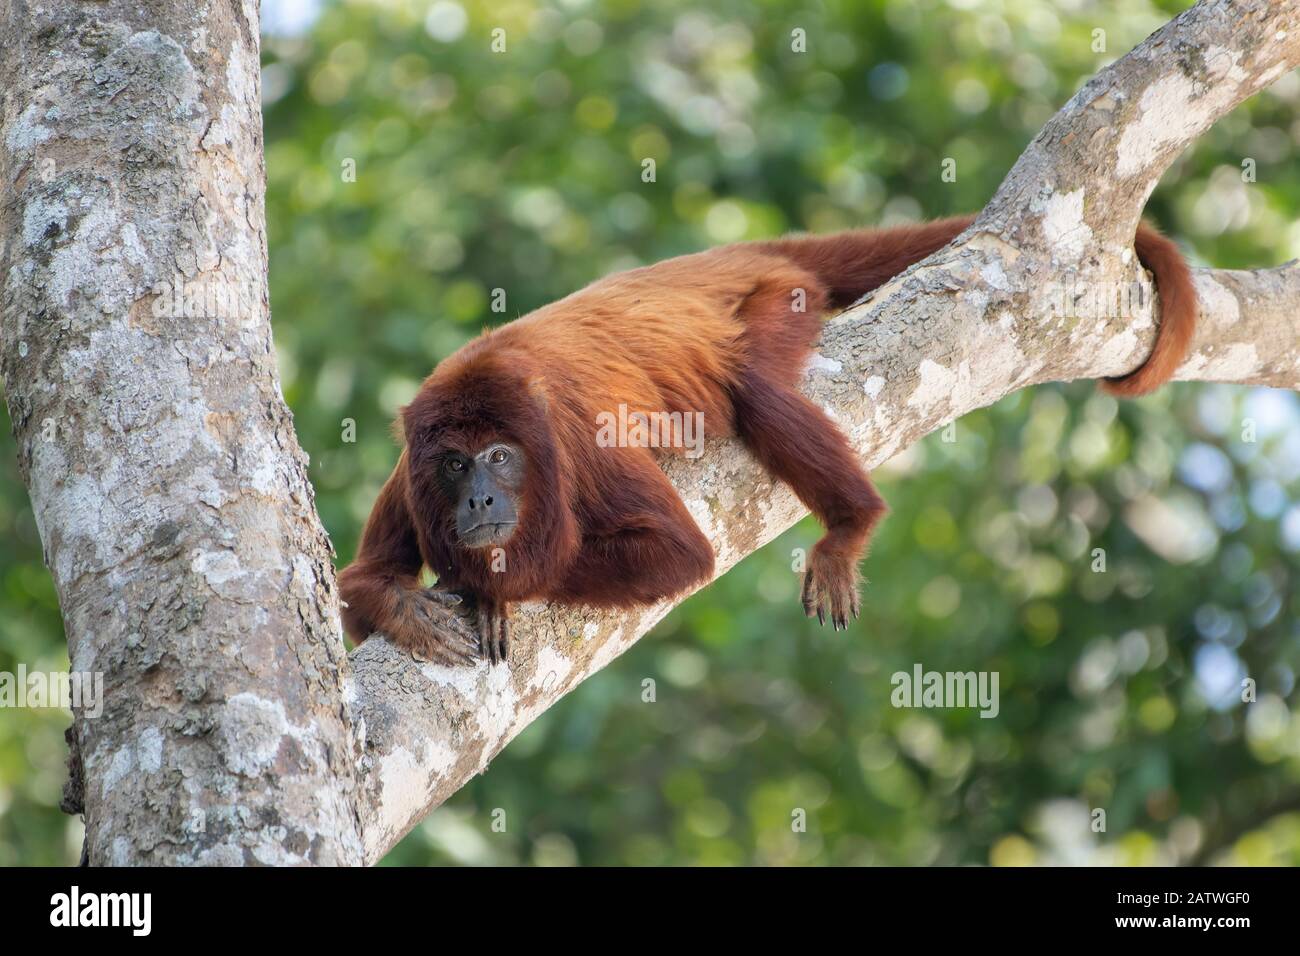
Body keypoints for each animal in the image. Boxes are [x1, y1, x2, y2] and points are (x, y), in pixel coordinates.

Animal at [338, 215, 1196, 665]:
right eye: (455, 464)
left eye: (500, 458)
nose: (481, 499)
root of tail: (740, 252)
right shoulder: (406, 477)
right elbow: (354, 590)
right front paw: (408, 605)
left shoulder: (582, 449)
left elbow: (678, 554)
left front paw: (492, 589)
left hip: (781, 300)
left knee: (755, 391)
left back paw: (851, 523)